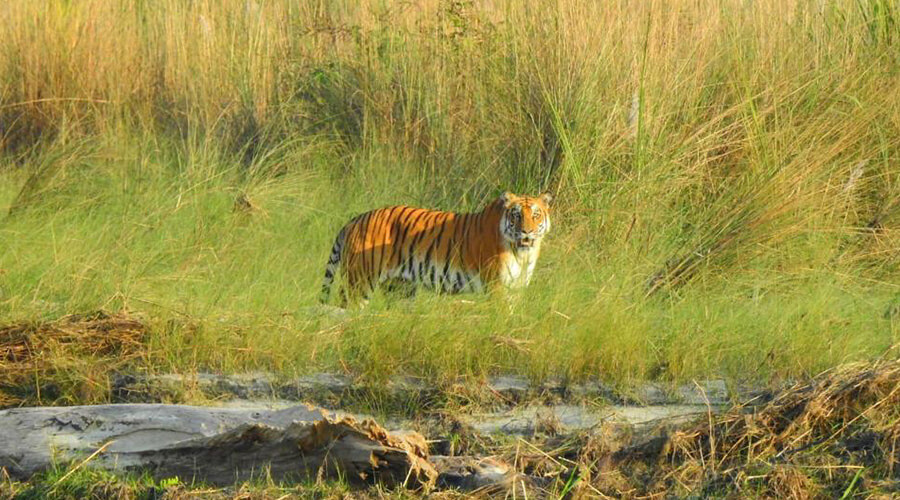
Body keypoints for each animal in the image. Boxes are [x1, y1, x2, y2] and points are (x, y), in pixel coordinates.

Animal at [320, 192, 552, 307]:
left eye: (536, 215)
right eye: (516, 215)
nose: (527, 232)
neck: (523, 253)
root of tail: (355, 220)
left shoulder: (518, 286)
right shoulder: (496, 286)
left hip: (400, 289)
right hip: (359, 282)